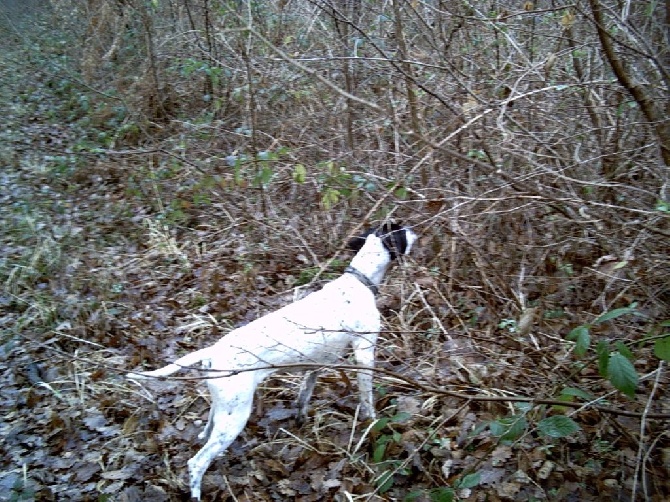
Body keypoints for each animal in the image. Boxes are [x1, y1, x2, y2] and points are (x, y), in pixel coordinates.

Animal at [129, 225, 418, 502]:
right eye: (400, 229)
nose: (414, 230)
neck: (358, 281)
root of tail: (213, 351)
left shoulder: (315, 365)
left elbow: (304, 394)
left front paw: (301, 418)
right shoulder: (364, 353)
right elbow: (367, 400)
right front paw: (372, 424)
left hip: (223, 408)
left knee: (206, 432)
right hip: (235, 417)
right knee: (197, 462)